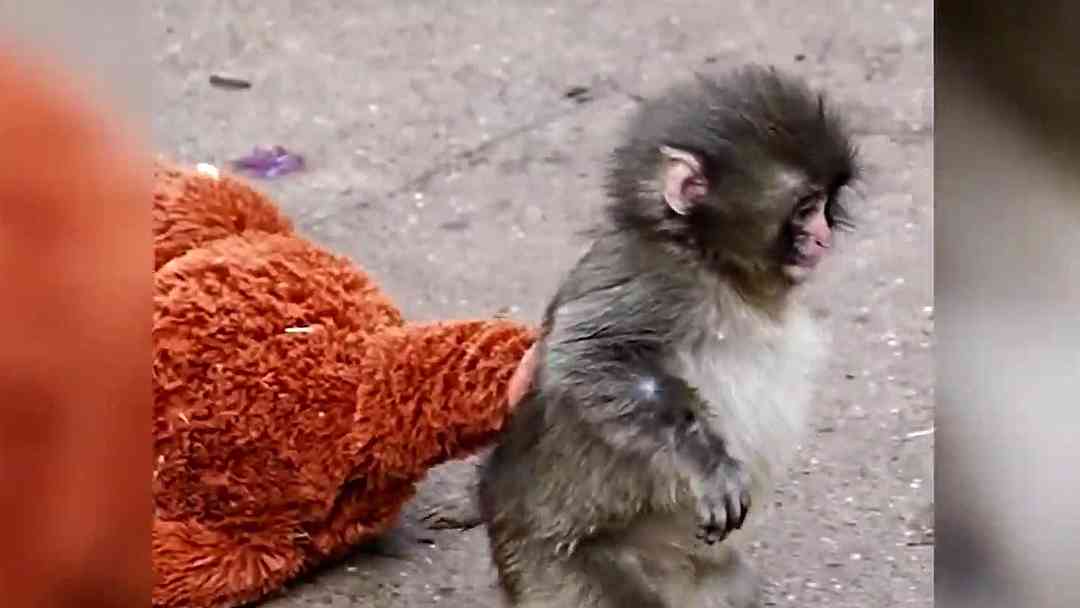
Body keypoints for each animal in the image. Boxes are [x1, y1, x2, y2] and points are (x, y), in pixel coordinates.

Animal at [477, 64, 860, 608]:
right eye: (805, 207)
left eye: (827, 205)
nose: (823, 238)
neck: (713, 265)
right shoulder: (659, 283)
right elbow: (587, 355)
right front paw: (706, 460)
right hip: (552, 568)